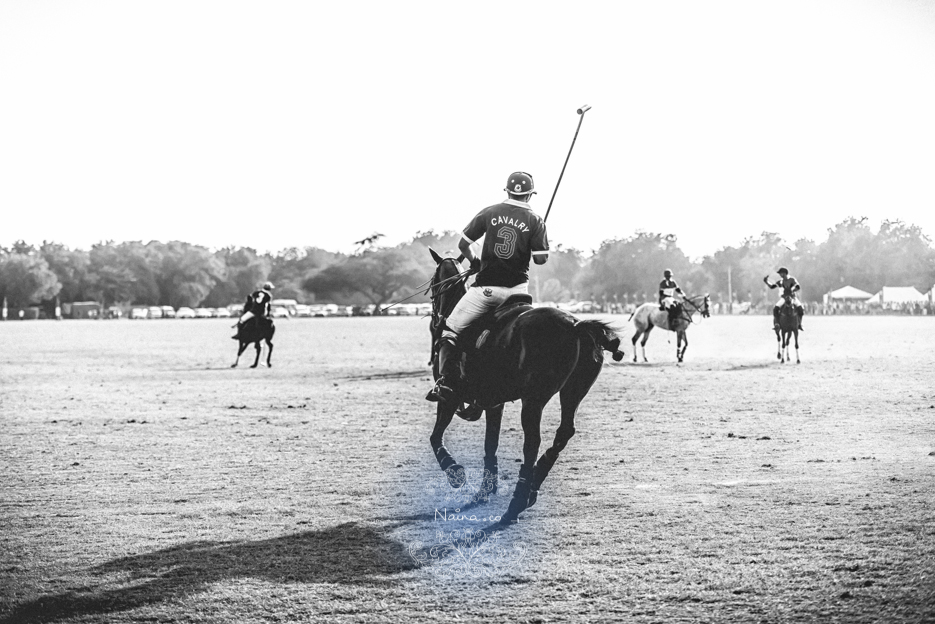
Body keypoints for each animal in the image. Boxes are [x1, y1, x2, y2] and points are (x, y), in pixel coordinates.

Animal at [428, 251, 624, 524]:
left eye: (434, 279)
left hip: (534, 398)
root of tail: (575, 325)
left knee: (532, 440)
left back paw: (516, 503)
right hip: (574, 391)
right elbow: (490, 444)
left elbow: (436, 436)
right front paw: (485, 491)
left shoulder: (450, 396)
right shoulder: (494, 402)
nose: (435, 320)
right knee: (564, 432)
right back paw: (532, 487)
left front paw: (455, 473)